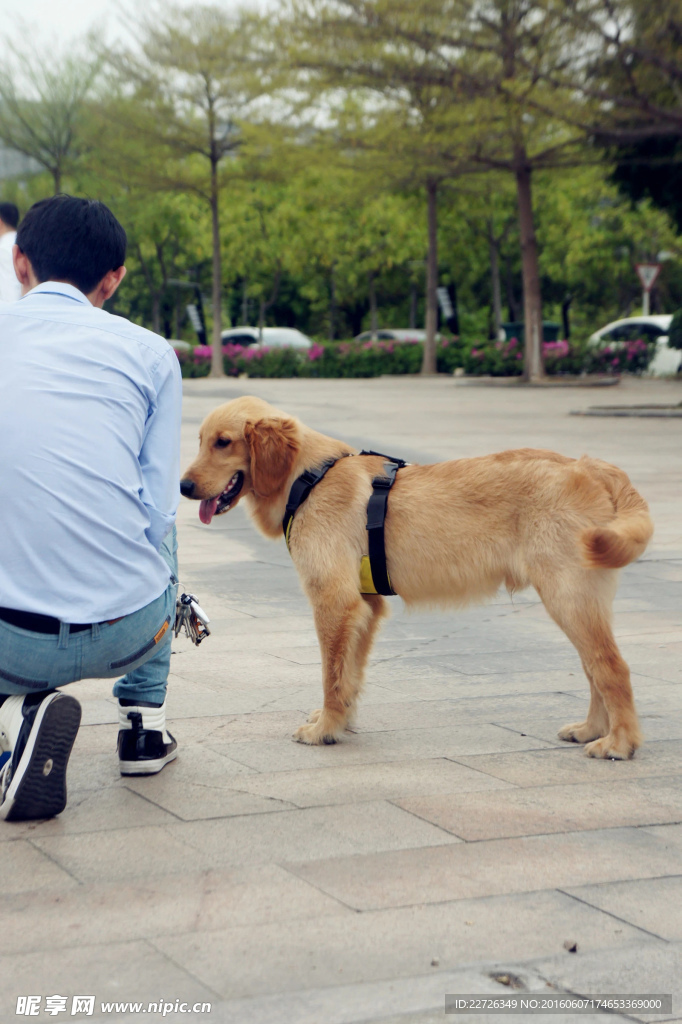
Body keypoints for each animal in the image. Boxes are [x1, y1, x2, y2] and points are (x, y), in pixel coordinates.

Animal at [182, 395, 655, 757]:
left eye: (223, 442)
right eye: (201, 441)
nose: (183, 487)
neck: (308, 479)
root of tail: (589, 465)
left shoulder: (334, 602)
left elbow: (331, 675)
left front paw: (325, 730)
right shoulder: (365, 605)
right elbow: (349, 675)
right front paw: (340, 722)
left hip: (566, 594)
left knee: (611, 667)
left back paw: (619, 743)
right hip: (577, 598)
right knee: (594, 667)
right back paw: (593, 729)